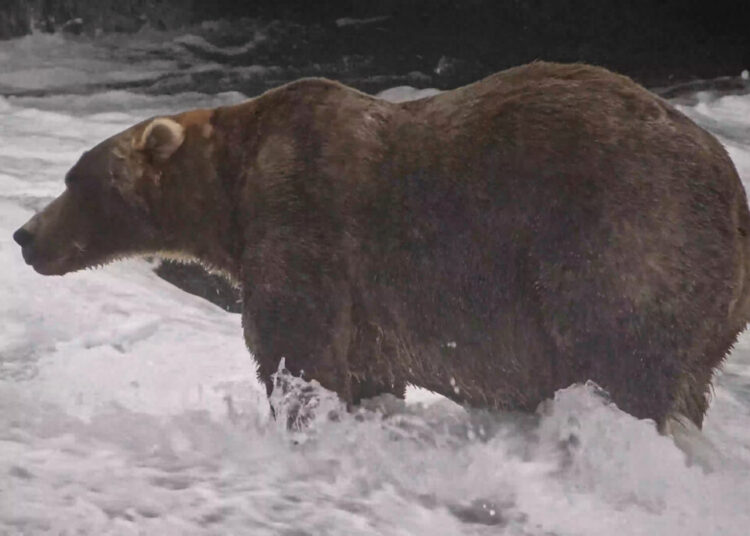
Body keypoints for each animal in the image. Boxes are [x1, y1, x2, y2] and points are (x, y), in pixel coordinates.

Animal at [13, 61, 750, 430]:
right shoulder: (366, 304)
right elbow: (365, 369)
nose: (24, 235)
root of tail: (734, 193)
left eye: (75, 179)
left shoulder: (305, 218)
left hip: (624, 235)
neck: (230, 191)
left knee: (622, 353)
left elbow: (297, 348)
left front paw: (299, 415)